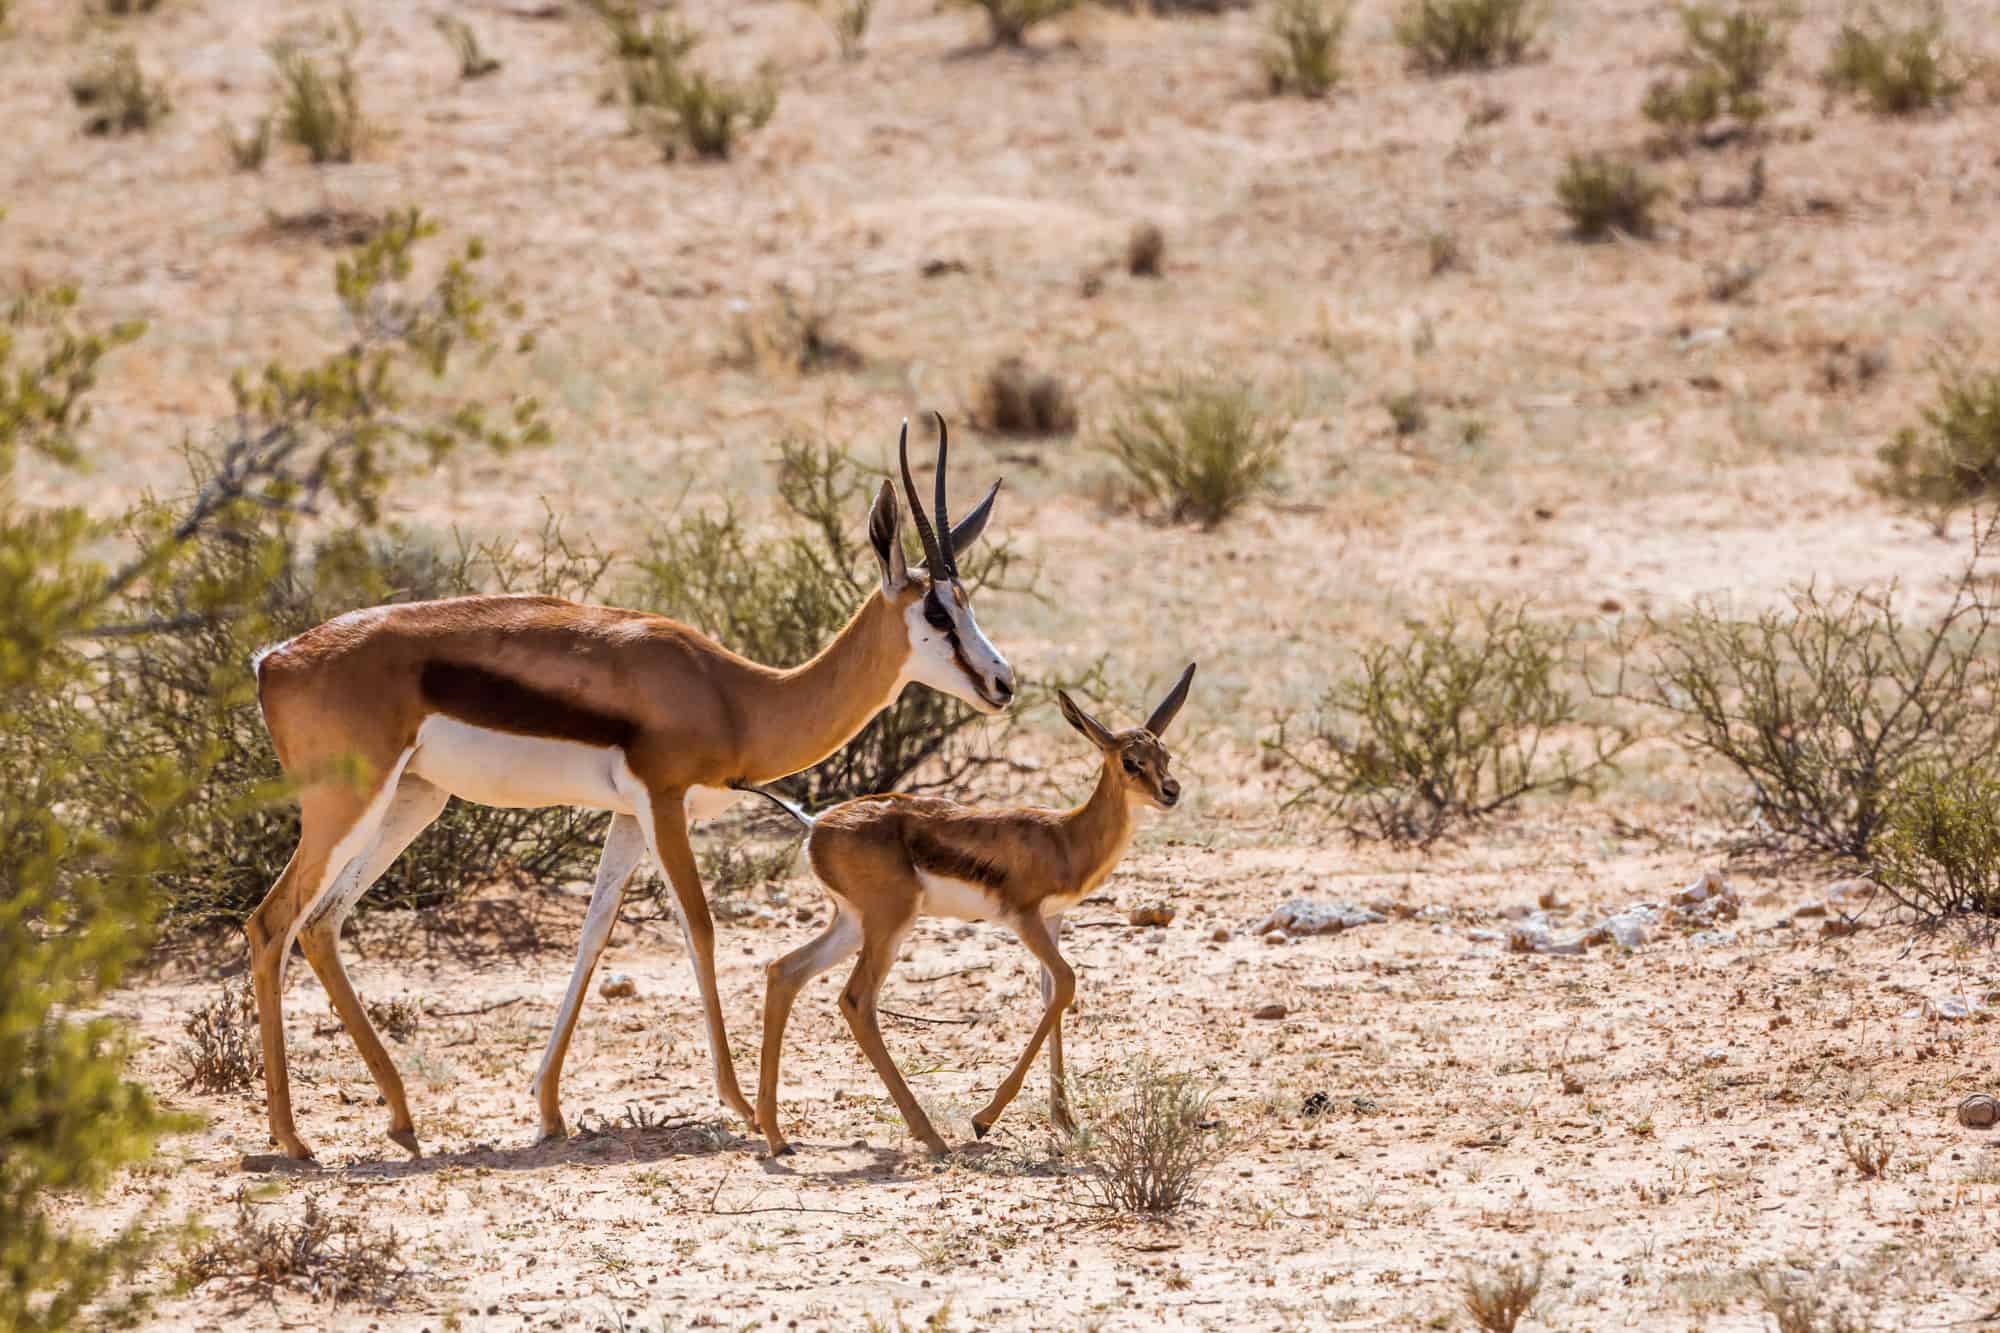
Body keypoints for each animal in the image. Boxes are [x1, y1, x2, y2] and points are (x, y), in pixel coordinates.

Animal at [748, 664, 1184, 1152]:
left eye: (1165, 755)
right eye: (1131, 761)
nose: (1171, 791)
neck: (1066, 837)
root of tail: (816, 825)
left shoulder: (1053, 919)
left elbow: (1052, 993)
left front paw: (1065, 1120)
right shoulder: (1024, 917)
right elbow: (1068, 982)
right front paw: (985, 1118)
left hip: (851, 924)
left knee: (784, 972)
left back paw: (775, 1134)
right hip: (888, 925)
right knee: (856, 1000)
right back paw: (932, 1138)